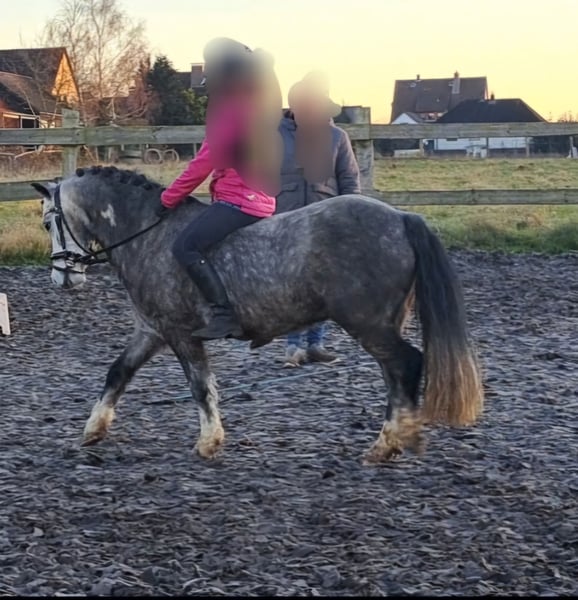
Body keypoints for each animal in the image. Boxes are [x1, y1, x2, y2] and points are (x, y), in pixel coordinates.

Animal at [32, 165, 483, 464]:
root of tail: (401, 218)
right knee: (395, 374)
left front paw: (209, 443)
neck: (148, 234)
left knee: (406, 365)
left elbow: (200, 387)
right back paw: (395, 439)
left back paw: (387, 443)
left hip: (368, 323)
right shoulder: (151, 331)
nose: (62, 277)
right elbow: (118, 372)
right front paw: (93, 430)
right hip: (382, 324)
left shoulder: (180, 334)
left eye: (49, 221)